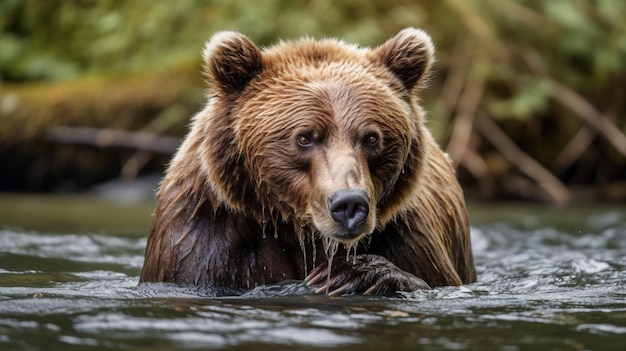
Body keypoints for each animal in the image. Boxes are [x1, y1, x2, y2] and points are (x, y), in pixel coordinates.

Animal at [139, 28, 476, 296]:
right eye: (304, 138)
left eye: (371, 137)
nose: (349, 203)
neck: (297, 229)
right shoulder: (202, 238)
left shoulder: (407, 233)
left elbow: (429, 279)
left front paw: (356, 273)